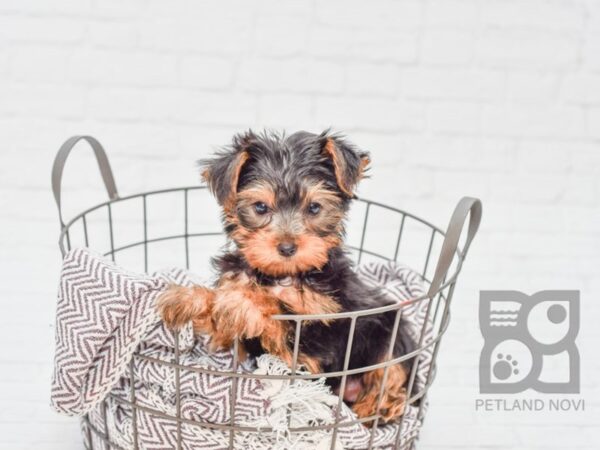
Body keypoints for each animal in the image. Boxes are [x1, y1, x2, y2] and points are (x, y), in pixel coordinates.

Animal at [157, 129, 414, 422]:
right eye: (260, 207)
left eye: (314, 208)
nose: (287, 247)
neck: (282, 276)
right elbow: (222, 316)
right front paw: (188, 297)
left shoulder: (319, 337)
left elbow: (282, 318)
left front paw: (243, 301)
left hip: (391, 326)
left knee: (391, 368)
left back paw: (378, 406)